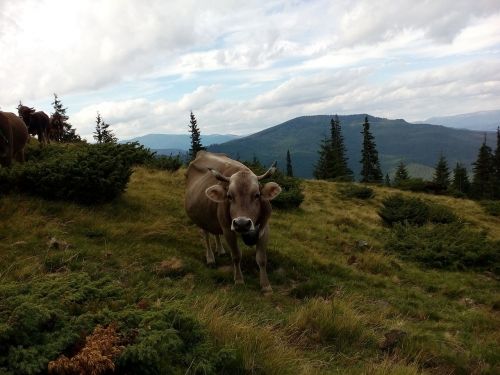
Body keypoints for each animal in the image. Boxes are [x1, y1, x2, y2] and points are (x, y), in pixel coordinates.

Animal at [187, 151, 284, 292]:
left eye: (257, 195)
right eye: (229, 196)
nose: (242, 223)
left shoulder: (264, 229)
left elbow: (261, 259)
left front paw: (266, 286)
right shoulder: (228, 230)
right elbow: (236, 256)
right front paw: (238, 280)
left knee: (215, 232)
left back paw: (220, 250)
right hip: (202, 218)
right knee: (206, 236)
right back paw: (210, 258)